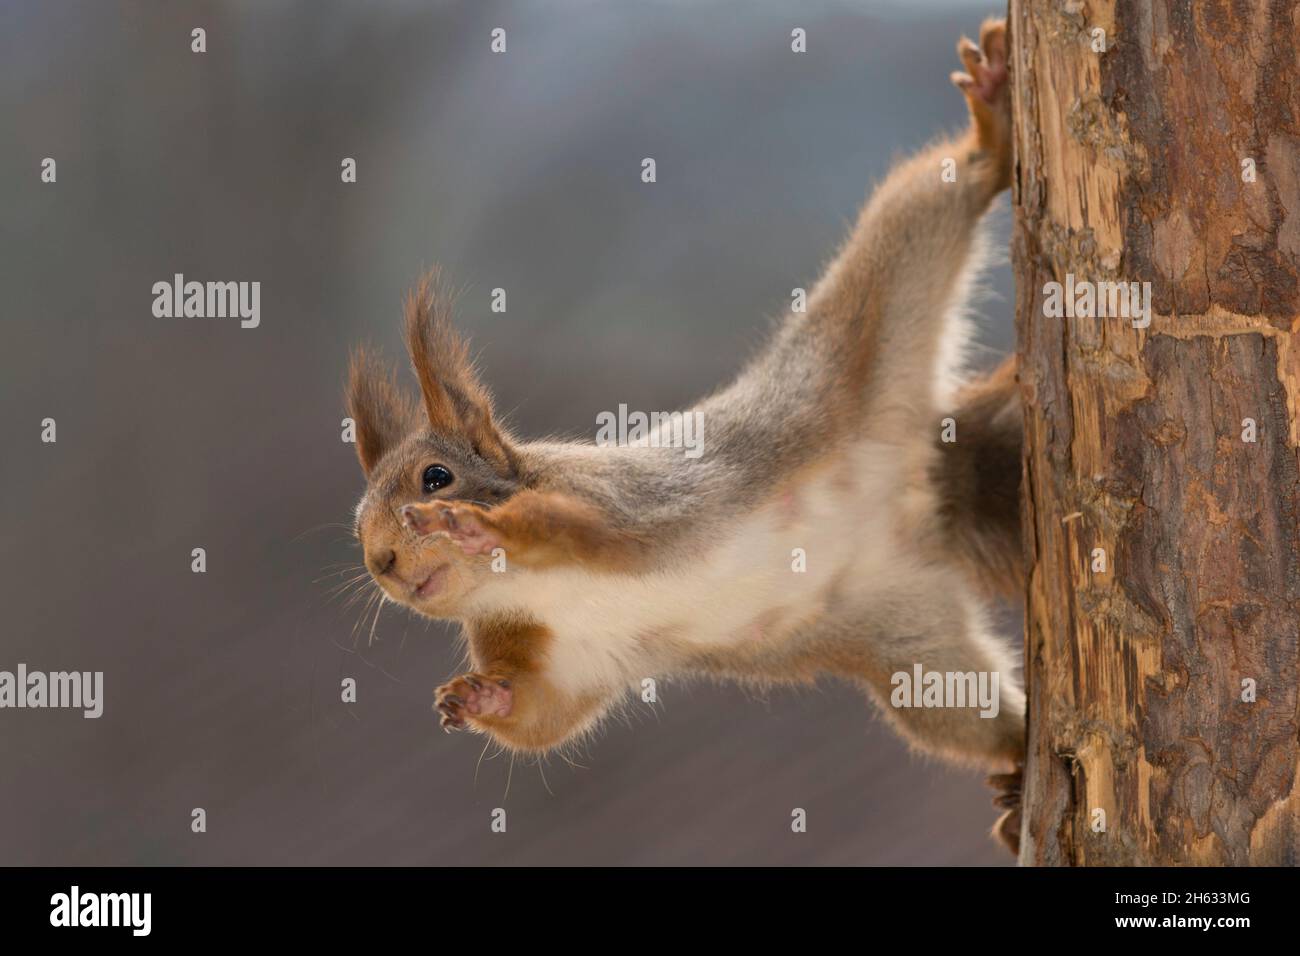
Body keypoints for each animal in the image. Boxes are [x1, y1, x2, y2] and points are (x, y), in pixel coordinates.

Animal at [343, 16, 1024, 853]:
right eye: (356, 534)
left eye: (435, 477)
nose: (382, 563)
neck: (528, 589)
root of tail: (922, 485)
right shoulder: (567, 656)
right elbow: (542, 718)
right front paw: (476, 699)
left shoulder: (625, 502)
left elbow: (581, 526)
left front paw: (483, 526)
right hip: (913, 658)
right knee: (980, 716)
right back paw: (1023, 771)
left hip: (875, 308)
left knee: (942, 190)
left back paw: (992, 116)